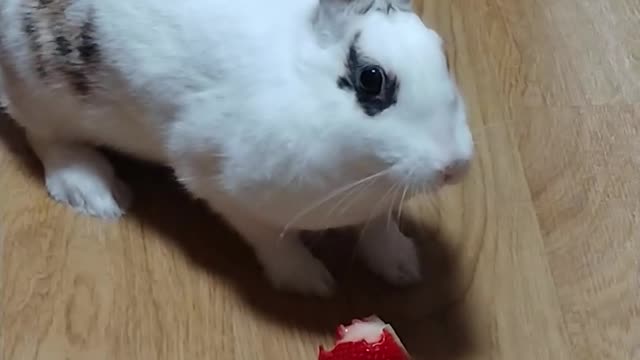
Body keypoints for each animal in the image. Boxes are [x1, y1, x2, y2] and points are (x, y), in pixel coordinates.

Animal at [0, 0, 476, 296]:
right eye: (371, 79)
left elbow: (379, 227)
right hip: (40, 92)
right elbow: (270, 240)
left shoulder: (378, 201)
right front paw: (309, 281)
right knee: (46, 139)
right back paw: (94, 191)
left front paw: (402, 266)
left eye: (443, 55)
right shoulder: (221, 185)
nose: (454, 166)